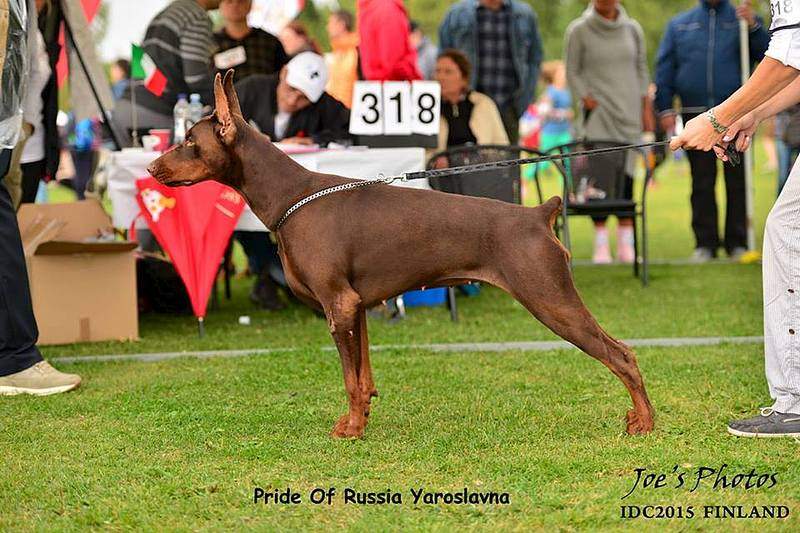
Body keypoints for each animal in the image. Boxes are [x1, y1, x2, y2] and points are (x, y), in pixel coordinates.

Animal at [150, 71, 656, 436]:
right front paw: (358, 419)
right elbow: (363, 376)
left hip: (551, 298)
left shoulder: (338, 304)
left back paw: (645, 423)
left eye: (190, 141)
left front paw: (353, 430)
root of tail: (538, 212)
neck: (290, 194)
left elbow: (349, 379)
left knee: (622, 355)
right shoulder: (356, 306)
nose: (153, 167)